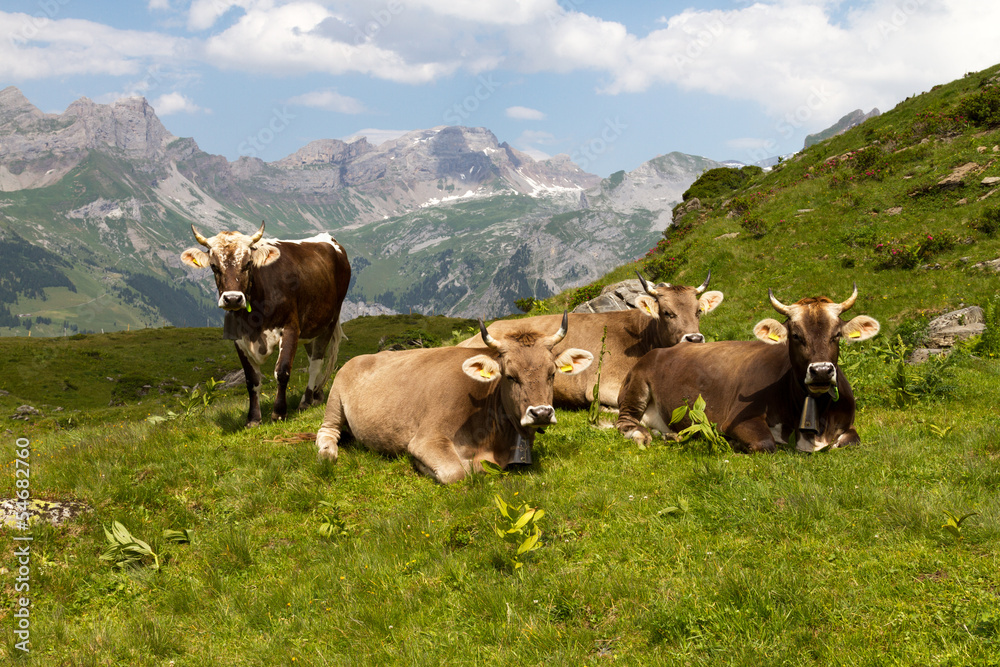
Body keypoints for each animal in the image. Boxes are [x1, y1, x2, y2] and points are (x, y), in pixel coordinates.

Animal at [181, 222, 352, 426]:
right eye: (214, 266)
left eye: (248, 263)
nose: (233, 299)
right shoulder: (239, 339)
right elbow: (251, 379)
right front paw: (253, 418)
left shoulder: (291, 328)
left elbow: (282, 371)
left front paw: (279, 413)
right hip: (312, 326)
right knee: (313, 357)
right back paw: (317, 395)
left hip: (330, 321)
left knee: (316, 362)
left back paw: (306, 401)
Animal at [314, 314, 592, 486]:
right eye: (510, 376)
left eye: (552, 374)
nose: (541, 413)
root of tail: (363, 357)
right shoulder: (427, 438)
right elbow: (459, 471)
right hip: (334, 399)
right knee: (327, 431)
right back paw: (327, 453)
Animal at [612, 288, 880, 454]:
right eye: (796, 335)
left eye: (836, 335)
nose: (822, 371)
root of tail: (658, 351)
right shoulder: (738, 420)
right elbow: (766, 443)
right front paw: (733, 443)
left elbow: (850, 441)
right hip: (636, 387)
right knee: (625, 422)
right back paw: (640, 435)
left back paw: (671, 436)